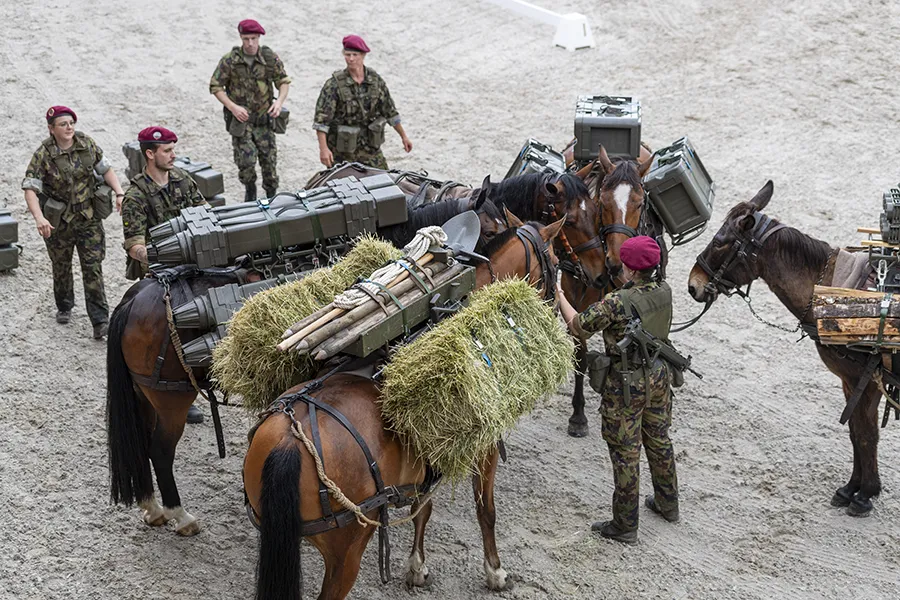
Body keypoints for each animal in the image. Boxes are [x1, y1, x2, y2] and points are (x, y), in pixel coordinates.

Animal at [243, 216, 568, 600]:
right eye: (556, 263)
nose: (559, 308)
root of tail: (291, 437)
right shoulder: (484, 447)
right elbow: (484, 510)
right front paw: (495, 572)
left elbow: (421, 509)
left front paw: (416, 567)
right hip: (346, 552)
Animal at [688, 182, 884, 516]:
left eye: (720, 243)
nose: (693, 285)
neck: (832, 293)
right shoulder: (849, 381)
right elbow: (855, 432)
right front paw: (851, 488)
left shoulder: (866, 380)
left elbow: (867, 434)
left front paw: (866, 494)